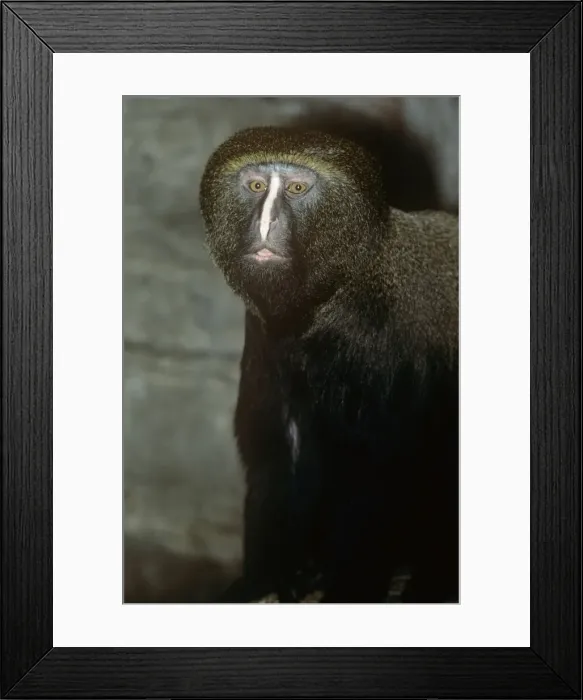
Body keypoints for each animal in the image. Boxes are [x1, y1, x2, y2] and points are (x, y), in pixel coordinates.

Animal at [199, 125, 459, 603]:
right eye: (257, 186)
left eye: (298, 189)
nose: (265, 225)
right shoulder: (265, 335)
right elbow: (279, 454)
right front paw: (266, 579)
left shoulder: (378, 343)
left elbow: (378, 474)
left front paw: (349, 586)